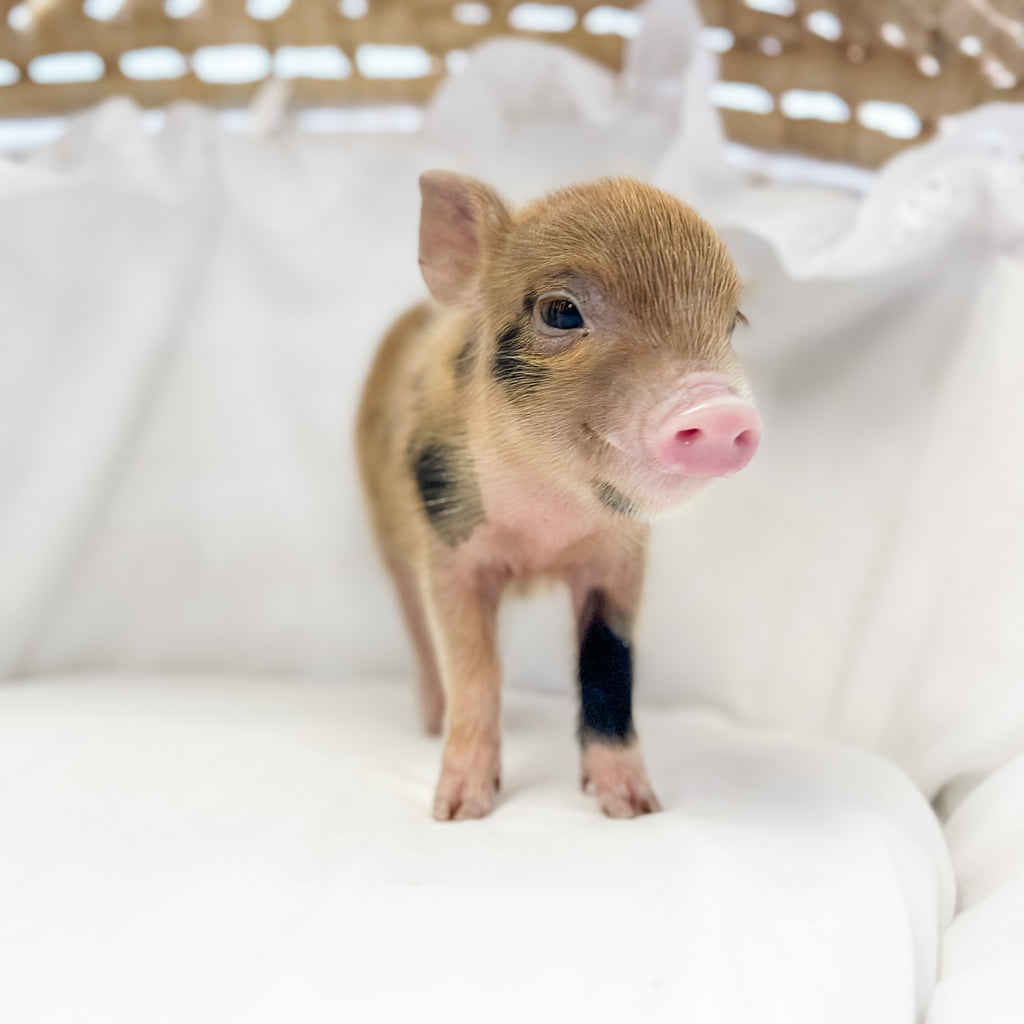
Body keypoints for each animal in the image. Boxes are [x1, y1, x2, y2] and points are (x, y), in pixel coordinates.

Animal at [356, 172, 760, 820]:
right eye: (561, 312)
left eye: (730, 326)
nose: (719, 408)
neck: (543, 532)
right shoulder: (449, 547)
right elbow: (472, 670)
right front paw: (457, 812)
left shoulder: (618, 561)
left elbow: (608, 669)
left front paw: (635, 809)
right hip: (389, 539)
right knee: (420, 634)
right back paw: (428, 724)